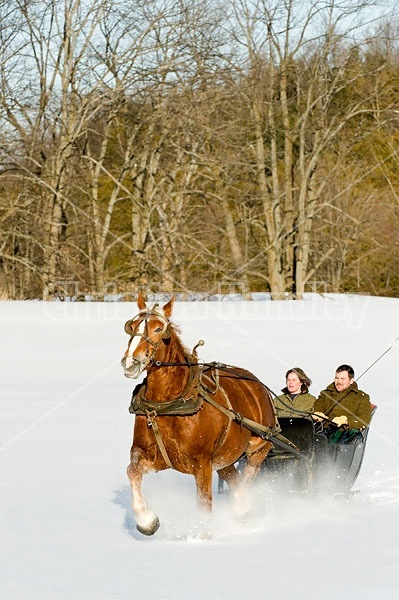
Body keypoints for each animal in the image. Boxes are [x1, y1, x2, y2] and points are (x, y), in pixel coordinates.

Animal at [120, 292, 280, 536]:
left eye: (159, 328)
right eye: (132, 326)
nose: (131, 362)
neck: (169, 405)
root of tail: (256, 384)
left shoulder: (202, 463)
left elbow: (204, 503)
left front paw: (202, 535)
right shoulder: (148, 454)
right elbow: (133, 472)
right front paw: (147, 520)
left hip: (259, 445)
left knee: (249, 476)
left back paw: (240, 507)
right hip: (225, 459)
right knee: (234, 479)